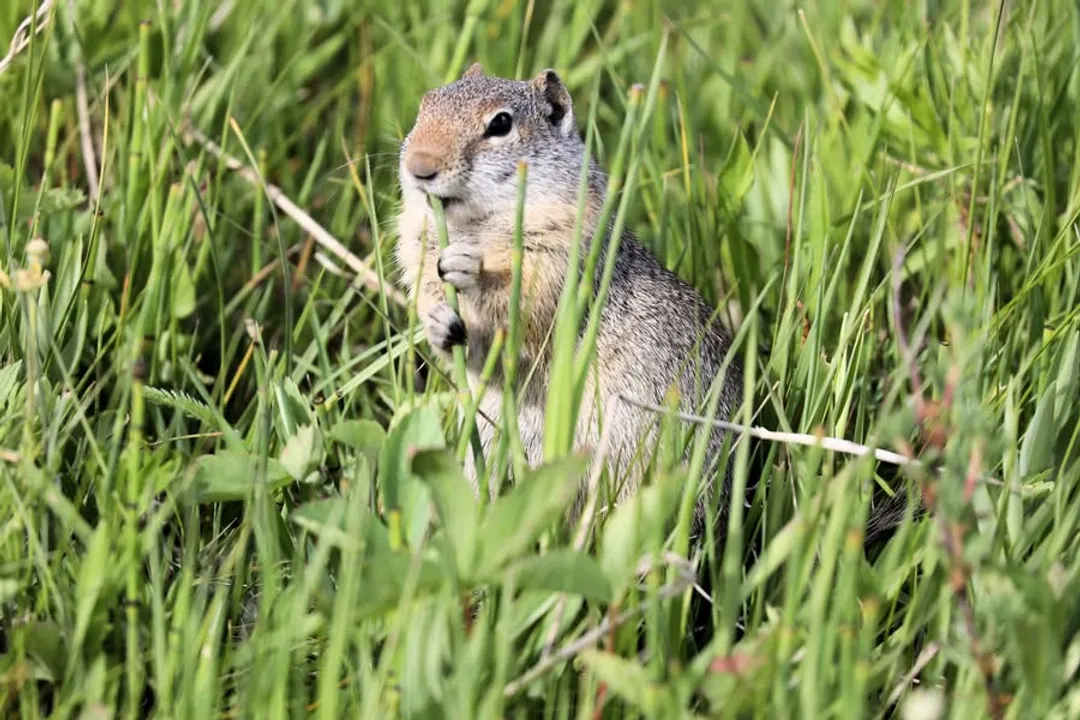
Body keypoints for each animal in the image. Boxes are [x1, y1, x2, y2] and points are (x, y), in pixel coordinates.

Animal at [394, 63, 743, 533]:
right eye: (425, 104)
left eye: (500, 124)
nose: (419, 166)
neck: (475, 225)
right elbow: (477, 355)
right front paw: (437, 322)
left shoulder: (559, 263)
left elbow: (521, 318)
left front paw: (471, 268)